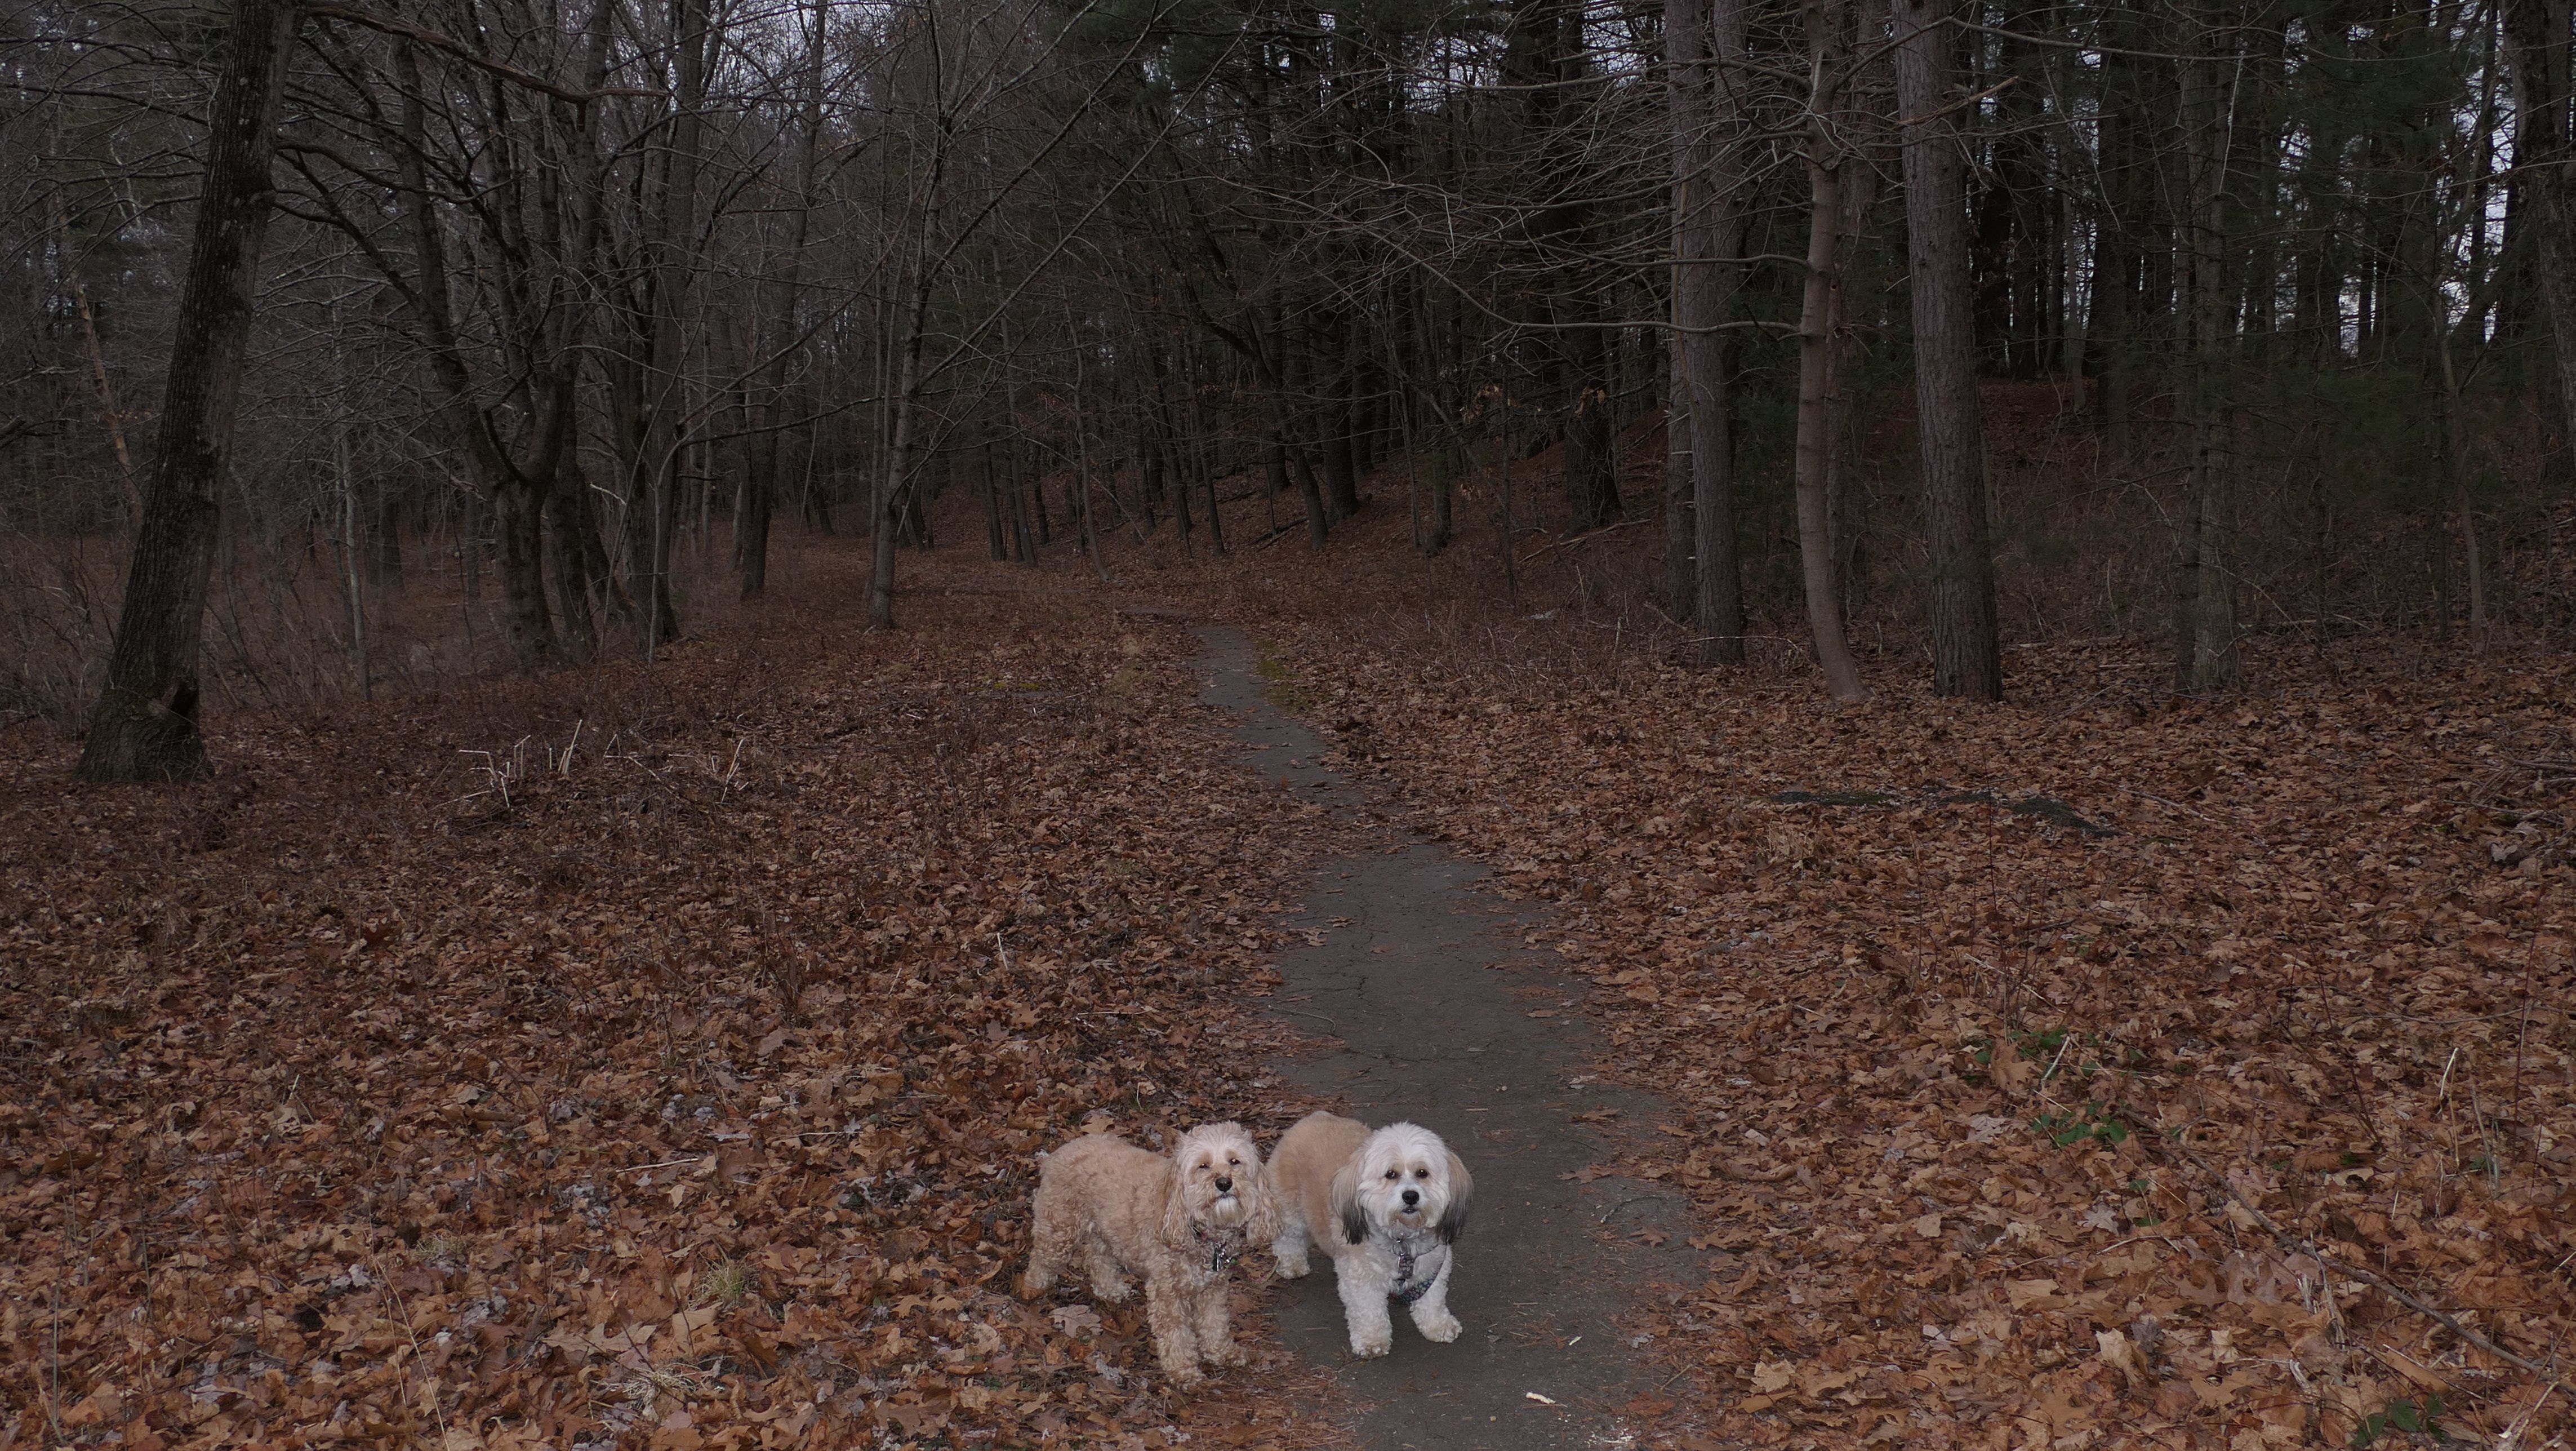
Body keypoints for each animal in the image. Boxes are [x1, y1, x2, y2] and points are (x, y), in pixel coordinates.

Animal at [1019, 1122, 1279, 1384]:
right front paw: (1183, 1370)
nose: (1224, 1183)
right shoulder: (1167, 1293)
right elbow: (1177, 1333)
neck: (1198, 1231)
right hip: (1060, 1231)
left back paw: (1110, 1289)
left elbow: (1215, 1321)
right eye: (1203, 1166)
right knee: (1041, 1258)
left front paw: (1222, 1352)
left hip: (1106, 1230)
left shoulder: (1214, 1288)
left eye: (1235, 1161)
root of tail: (1058, 1153)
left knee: (1096, 1257)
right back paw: (1032, 1288)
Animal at [1267, 1111, 1472, 1357]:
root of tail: (1315, 1116)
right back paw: (1293, 1265)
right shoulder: (1360, 1277)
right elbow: (1368, 1310)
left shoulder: (1433, 1267)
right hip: (1291, 1213)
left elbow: (1433, 1300)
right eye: (1391, 1174)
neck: (1402, 1241)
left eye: (1423, 1173)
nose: (1410, 1196)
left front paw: (1438, 1325)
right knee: (1288, 1240)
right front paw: (1372, 1340)